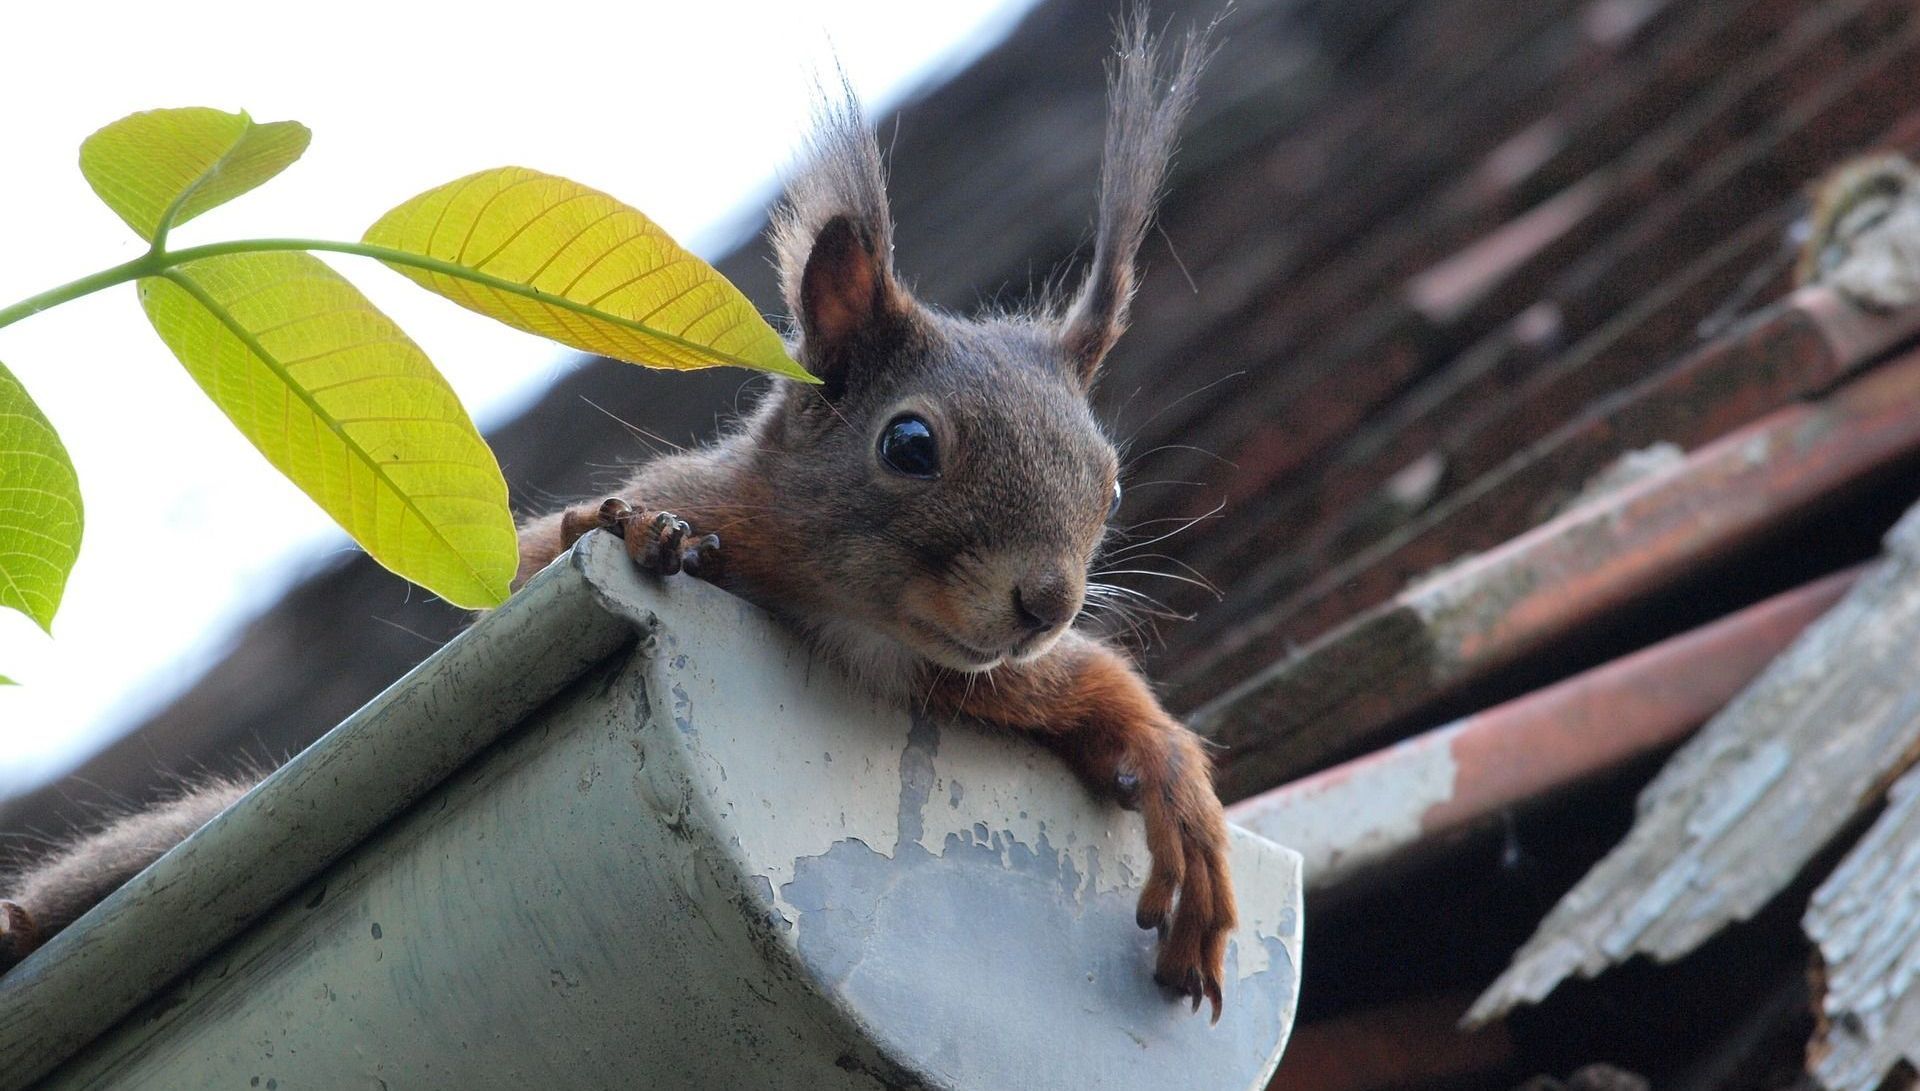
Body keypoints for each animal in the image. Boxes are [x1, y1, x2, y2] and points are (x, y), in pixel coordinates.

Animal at [0, 19, 1236, 1021]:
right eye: (910, 445)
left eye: (1110, 483)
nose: (1045, 601)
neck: (858, 622)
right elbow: (535, 567)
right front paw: (640, 532)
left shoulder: (974, 677)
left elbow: (1100, 692)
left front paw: (1179, 793)